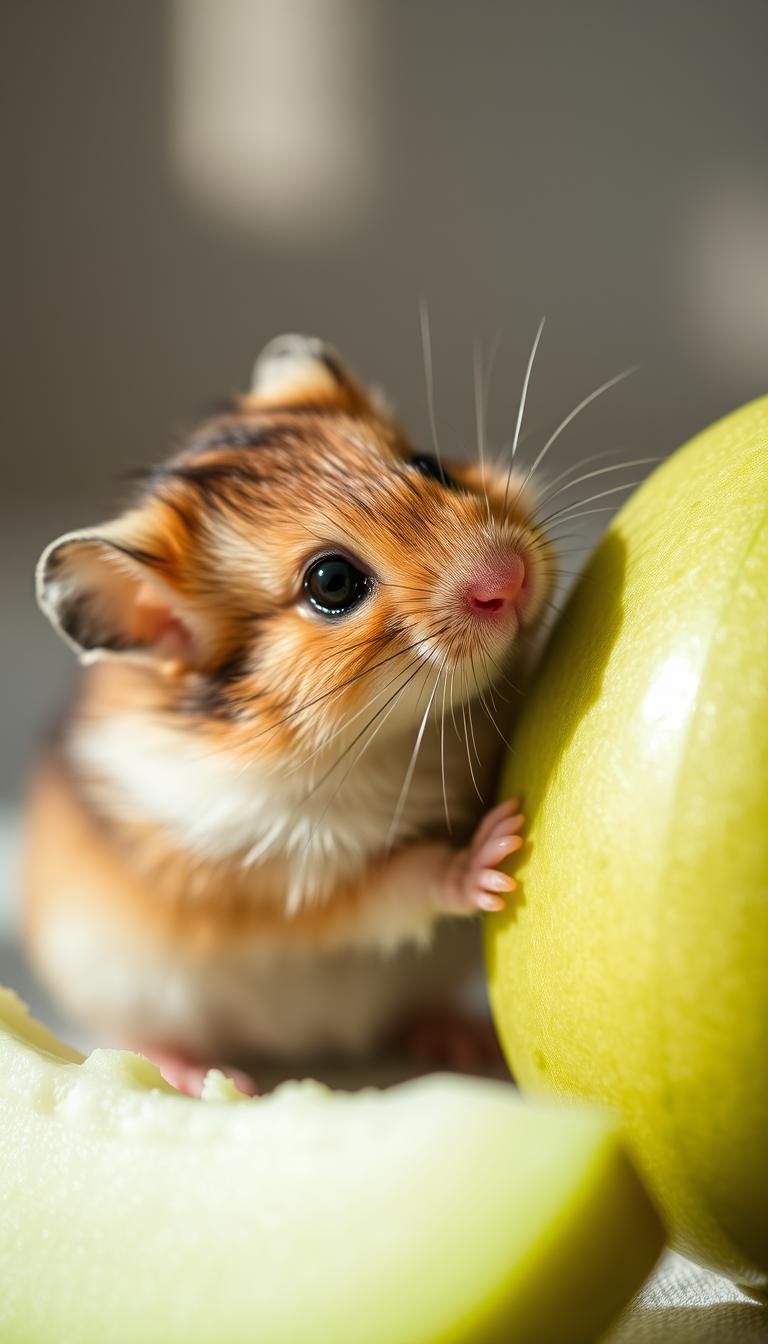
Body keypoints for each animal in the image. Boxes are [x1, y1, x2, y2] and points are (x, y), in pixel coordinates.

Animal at [23, 335, 555, 1093]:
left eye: (428, 464)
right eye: (331, 583)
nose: (511, 580)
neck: (389, 740)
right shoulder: (285, 882)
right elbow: (399, 882)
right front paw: (495, 849)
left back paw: (459, 1039)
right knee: (134, 1035)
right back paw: (207, 1076)